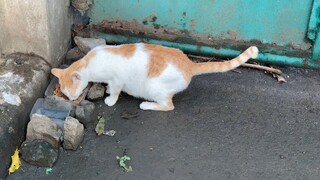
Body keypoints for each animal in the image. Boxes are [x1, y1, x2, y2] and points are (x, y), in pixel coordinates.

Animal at [51, 43, 258, 111]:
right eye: (64, 92)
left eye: (70, 92)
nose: (71, 99)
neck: (90, 62)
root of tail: (189, 64)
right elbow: (111, 87)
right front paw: (107, 90)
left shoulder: (118, 79)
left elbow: (116, 90)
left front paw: (110, 99)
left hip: (154, 87)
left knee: (168, 106)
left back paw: (147, 105)